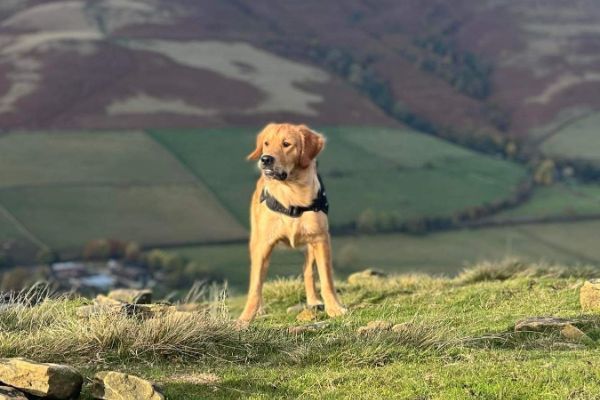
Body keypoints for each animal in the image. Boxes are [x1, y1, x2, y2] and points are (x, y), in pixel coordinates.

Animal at [238, 122, 346, 324]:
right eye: (266, 143)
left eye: (286, 144)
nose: (265, 159)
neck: (291, 195)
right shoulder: (263, 245)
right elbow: (255, 285)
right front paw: (245, 318)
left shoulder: (320, 240)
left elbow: (326, 280)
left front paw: (334, 308)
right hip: (256, 241)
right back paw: (260, 309)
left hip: (311, 246)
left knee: (308, 271)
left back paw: (313, 301)